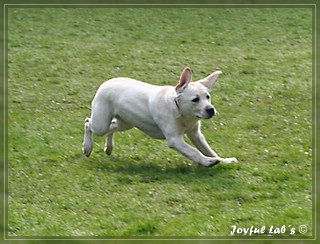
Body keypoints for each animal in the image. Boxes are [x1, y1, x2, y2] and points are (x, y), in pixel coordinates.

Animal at [82, 66, 238, 167]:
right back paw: (87, 147)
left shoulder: (196, 134)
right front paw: (207, 162)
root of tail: (106, 82)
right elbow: (194, 152)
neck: (180, 111)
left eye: (208, 97)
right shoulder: (175, 139)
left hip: (125, 123)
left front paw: (223, 160)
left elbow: (209, 150)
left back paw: (109, 147)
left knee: (111, 127)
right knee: (88, 123)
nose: (211, 110)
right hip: (101, 123)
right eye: (195, 99)